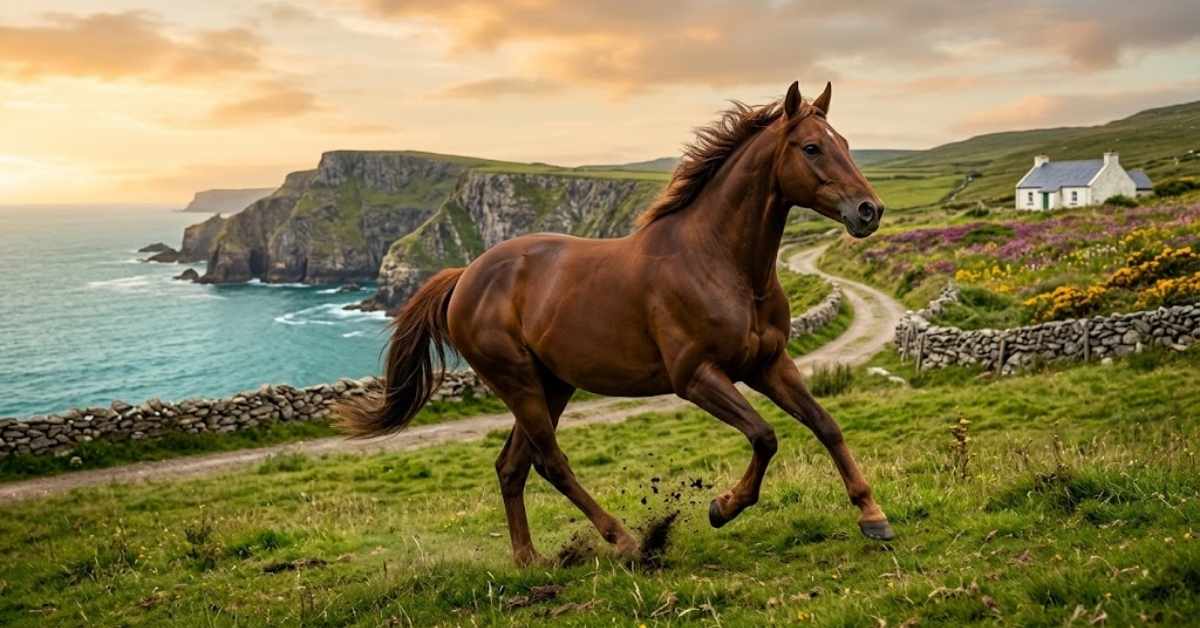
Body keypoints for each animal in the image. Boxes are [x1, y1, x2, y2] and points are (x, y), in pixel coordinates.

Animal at [338, 81, 892, 566]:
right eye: (812, 147)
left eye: (845, 144)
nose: (870, 210)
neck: (719, 262)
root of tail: (465, 276)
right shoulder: (696, 377)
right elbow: (764, 435)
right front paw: (722, 507)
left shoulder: (769, 363)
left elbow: (825, 424)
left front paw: (873, 516)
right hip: (519, 382)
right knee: (550, 462)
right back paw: (626, 541)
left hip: (552, 383)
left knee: (512, 466)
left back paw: (529, 559)